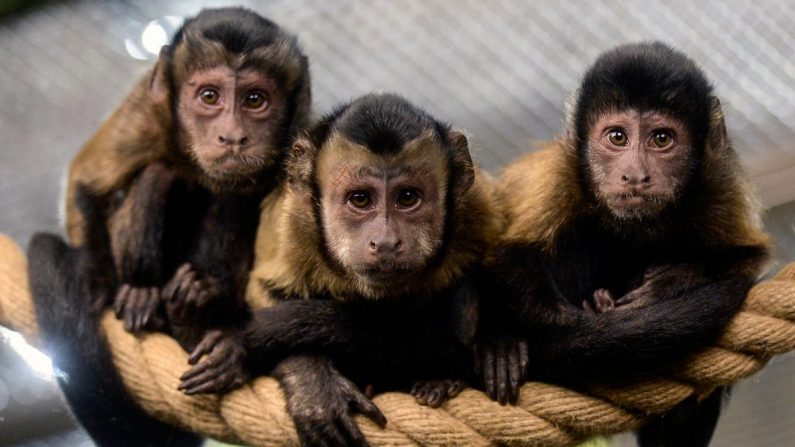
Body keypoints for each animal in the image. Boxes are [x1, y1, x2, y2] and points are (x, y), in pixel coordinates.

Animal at [25, 7, 310, 447]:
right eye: (209, 97)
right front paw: (94, 281)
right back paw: (142, 295)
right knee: (157, 174)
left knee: (234, 197)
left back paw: (195, 309)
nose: (232, 136)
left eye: (255, 100)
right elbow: (87, 182)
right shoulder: (147, 110)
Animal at [179, 93, 504, 446]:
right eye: (360, 199)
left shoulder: (476, 205)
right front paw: (313, 383)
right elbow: (269, 292)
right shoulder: (294, 220)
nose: (385, 242)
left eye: (408, 197)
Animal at [472, 42, 772, 447]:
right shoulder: (560, 173)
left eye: (662, 139)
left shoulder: (720, 182)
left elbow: (750, 258)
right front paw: (573, 326)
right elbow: (508, 255)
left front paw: (671, 283)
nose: (635, 175)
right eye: (617, 137)